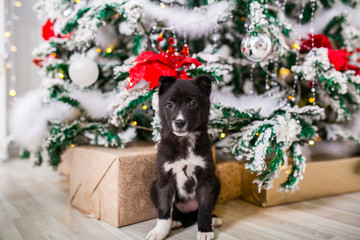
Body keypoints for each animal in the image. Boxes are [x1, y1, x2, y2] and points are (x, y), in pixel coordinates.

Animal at [146, 75, 219, 240]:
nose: (179, 122)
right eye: (169, 104)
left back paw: (214, 219)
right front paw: (159, 231)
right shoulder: (165, 180)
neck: (184, 142)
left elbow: (204, 209)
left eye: (193, 103)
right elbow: (164, 209)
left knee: (198, 212)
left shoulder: (206, 180)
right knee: (177, 212)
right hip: (154, 186)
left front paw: (204, 230)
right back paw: (176, 221)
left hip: (216, 181)